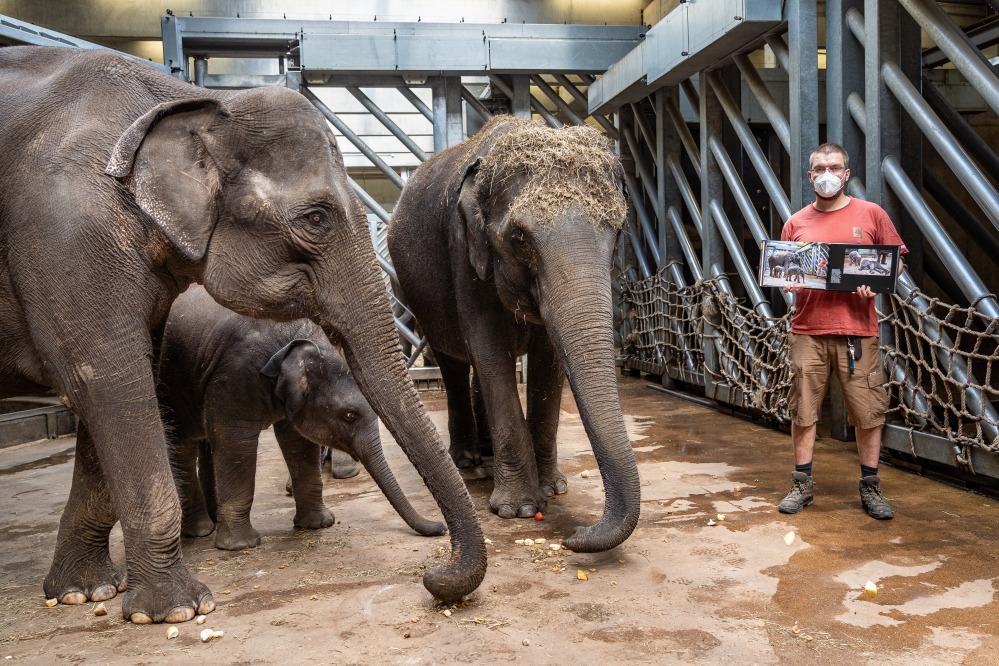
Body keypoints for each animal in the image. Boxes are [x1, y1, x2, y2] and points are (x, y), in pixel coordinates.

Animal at [159, 286, 446, 548]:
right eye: (349, 415)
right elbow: (236, 442)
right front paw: (242, 546)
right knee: (182, 447)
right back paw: (201, 531)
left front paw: (318, 525)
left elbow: (298, 442)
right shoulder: (234, 376)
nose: (441, 527)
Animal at [386, 114, 644, 548]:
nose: (575, 534)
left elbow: (548, 360)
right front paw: (519, 510)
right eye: (520, 239)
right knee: (454, 362)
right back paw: (467, 459)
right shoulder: (464, 253)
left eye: (617, 231)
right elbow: (490, 351)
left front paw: (554, 489)